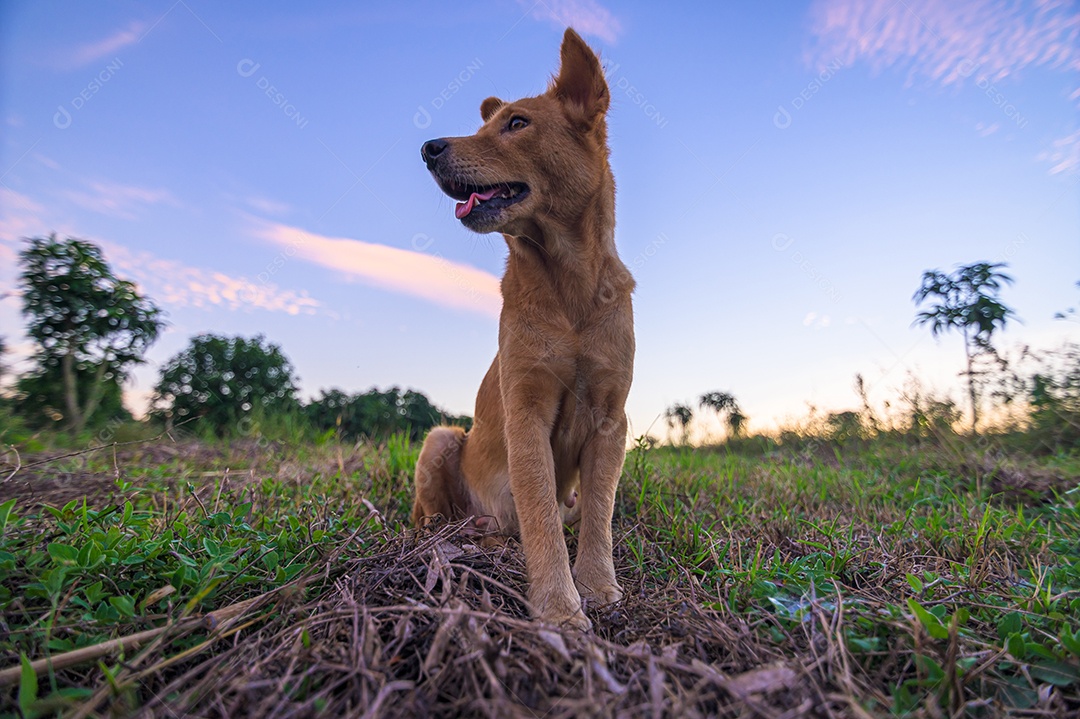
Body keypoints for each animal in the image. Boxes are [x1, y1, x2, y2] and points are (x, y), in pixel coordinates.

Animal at [412, 28, 630, 626]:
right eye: (489, 124)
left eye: (516, 123)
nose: (428, 148)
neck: (568, 287)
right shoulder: (525, 409)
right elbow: (539, 515)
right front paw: (559, 607)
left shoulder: (612, 417)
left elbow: (599, 512)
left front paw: (597, 584)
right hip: (440, 440)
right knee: (432, 519)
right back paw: (464, 537)